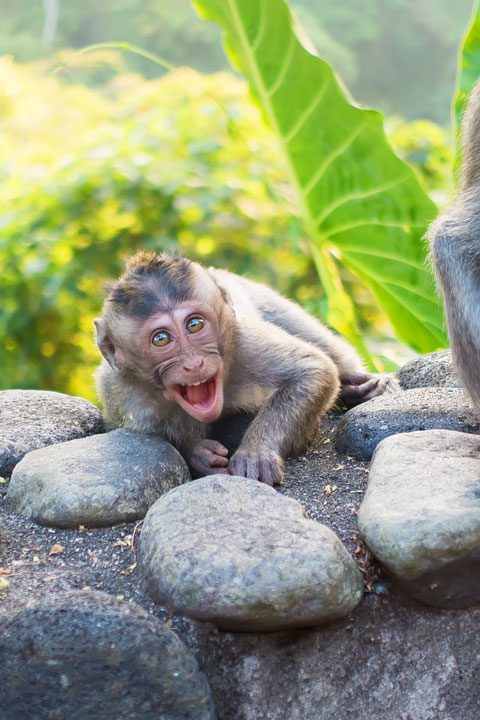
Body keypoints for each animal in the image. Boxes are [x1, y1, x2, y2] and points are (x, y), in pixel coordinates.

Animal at [94, 252, 390, 484]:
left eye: (194, 325)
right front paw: (199, 454)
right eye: (161, 339)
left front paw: (255, 453)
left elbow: (314, 370)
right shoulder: (122, 396)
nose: (193, 363)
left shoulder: (244, 342)